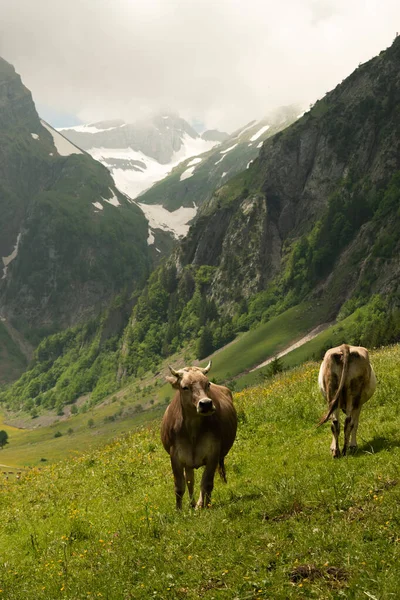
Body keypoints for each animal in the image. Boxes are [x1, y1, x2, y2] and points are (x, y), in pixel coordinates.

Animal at [161, 360, 238, 510]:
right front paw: (179, 511)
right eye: (185, 387)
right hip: (188, 462)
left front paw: (205, 505)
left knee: (218, 472)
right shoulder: (175, 455)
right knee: (190, 480)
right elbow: (180, 486)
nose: (206, 404)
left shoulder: (213, 452)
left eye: (207, 384)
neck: (193, 431)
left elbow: (206, 483)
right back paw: (192, 504)